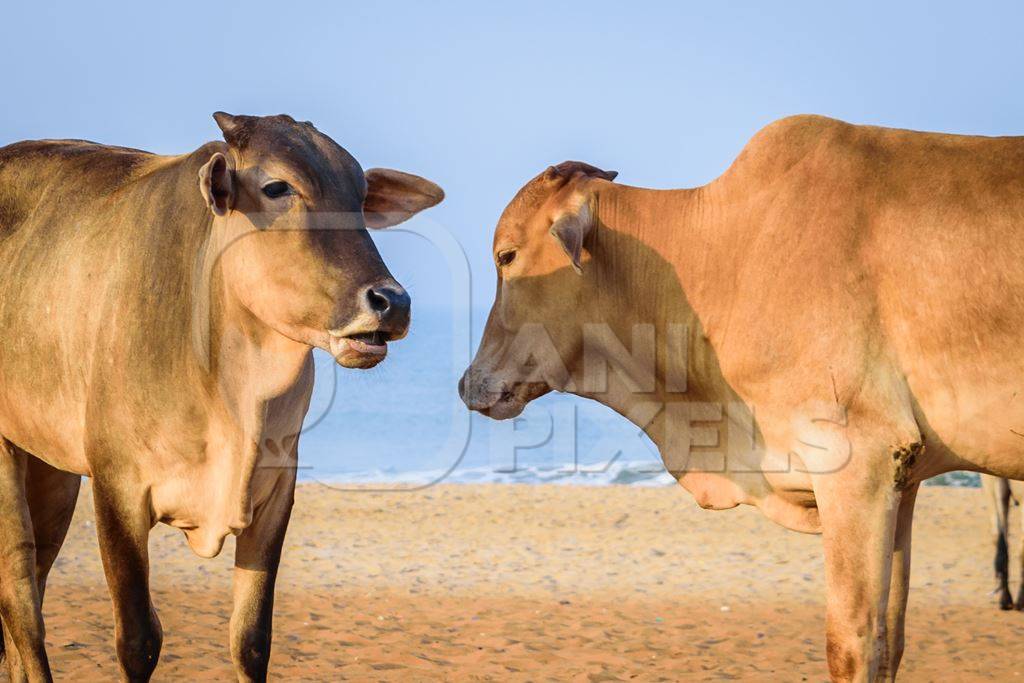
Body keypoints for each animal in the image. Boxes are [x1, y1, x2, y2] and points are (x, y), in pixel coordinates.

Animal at [0, 113, 444, 683]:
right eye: (277, 187)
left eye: (361, 194)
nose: (392, 301)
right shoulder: (118, 487)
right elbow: (138, 639)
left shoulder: (276, 492)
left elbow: (251, 639)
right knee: (23, 607)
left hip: (52, 472)